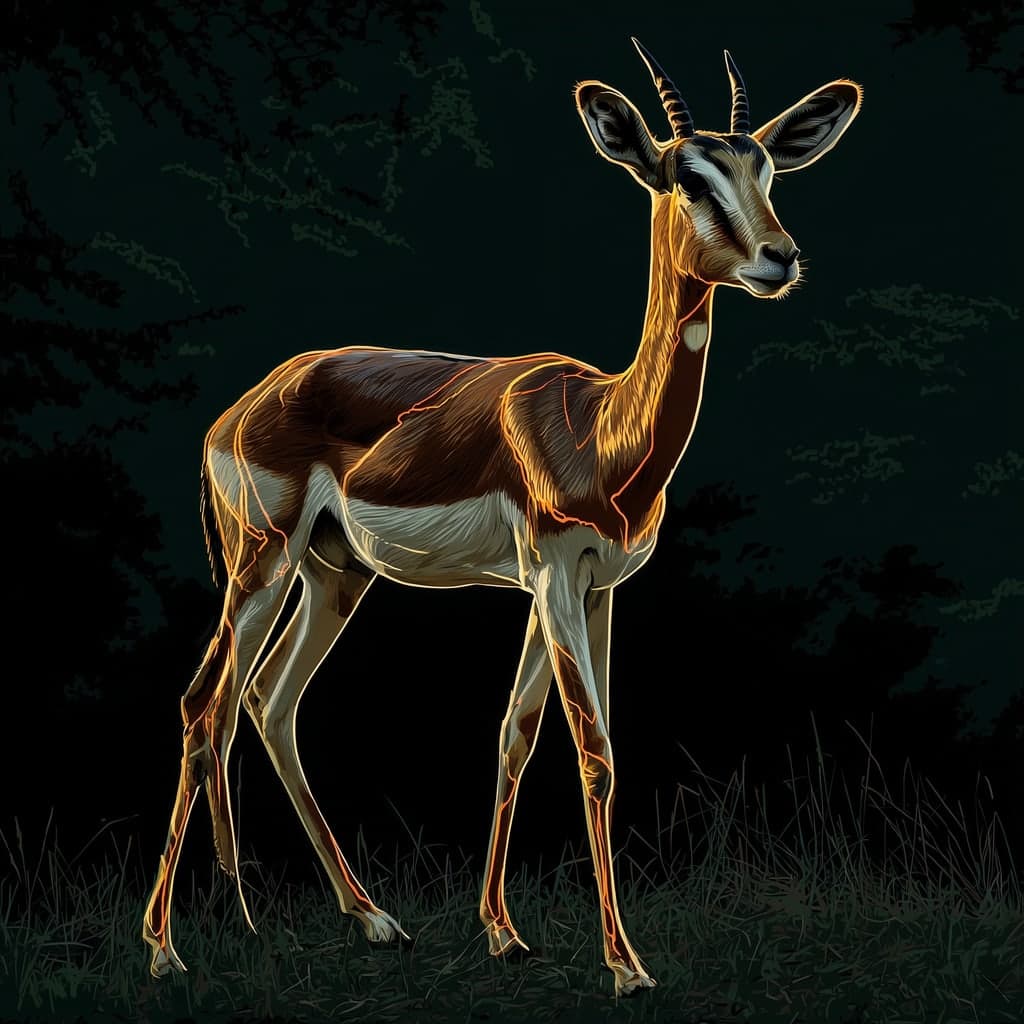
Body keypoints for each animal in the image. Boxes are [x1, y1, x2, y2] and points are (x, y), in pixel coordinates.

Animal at [142, 39, 861, 996]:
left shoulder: (592, 587)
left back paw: (348, 920)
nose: (779, 258)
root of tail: (238, 409)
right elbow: (593, 752)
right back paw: (167, 947)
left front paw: (502, 932)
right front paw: (625, 965)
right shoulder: (554, 578)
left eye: (768, 168)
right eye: (687, 177)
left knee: (265, 700)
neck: (604, 430)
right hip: (260, 561)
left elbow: (517, 734)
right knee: (203, 702)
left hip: (336, 574)